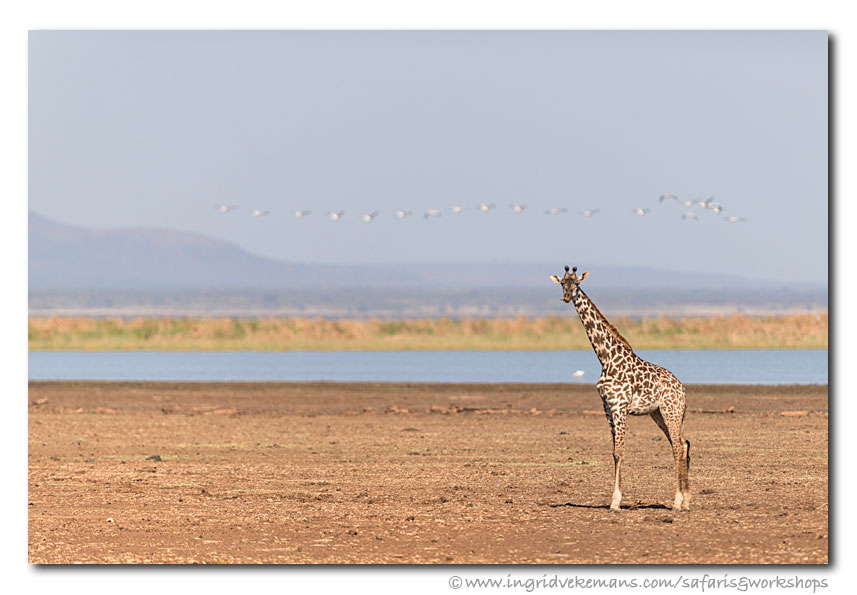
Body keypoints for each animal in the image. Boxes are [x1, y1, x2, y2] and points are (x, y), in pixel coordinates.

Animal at [552, 266, 692, 512]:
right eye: (562, 283)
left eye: (576, 284)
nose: (567, 297)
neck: (605, 358)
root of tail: (682, 389)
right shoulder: (607, 407)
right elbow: (614, 452)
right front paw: (615, 500)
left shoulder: (620, 406)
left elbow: (620, 452)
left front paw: (615, 502)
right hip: (659, 414)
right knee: (682, 444)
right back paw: (685, 501)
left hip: (670, 411)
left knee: (677, 446)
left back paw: (677, 502)